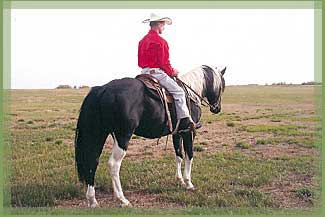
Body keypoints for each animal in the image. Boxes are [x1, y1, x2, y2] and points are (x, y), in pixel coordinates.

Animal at [74, 64, 225, 207]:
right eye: (222, 86)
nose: (217, 108)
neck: (192, 94)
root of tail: (103, 89)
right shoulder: (189, 132)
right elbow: (189, 155)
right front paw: (188, 183)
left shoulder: (177, 133)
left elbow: (179, 155)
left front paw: (180, 180)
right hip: (123, 136)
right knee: (113, 164)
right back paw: (122, 199)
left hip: (99, 133)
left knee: (92, 161)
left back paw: (92, 200)